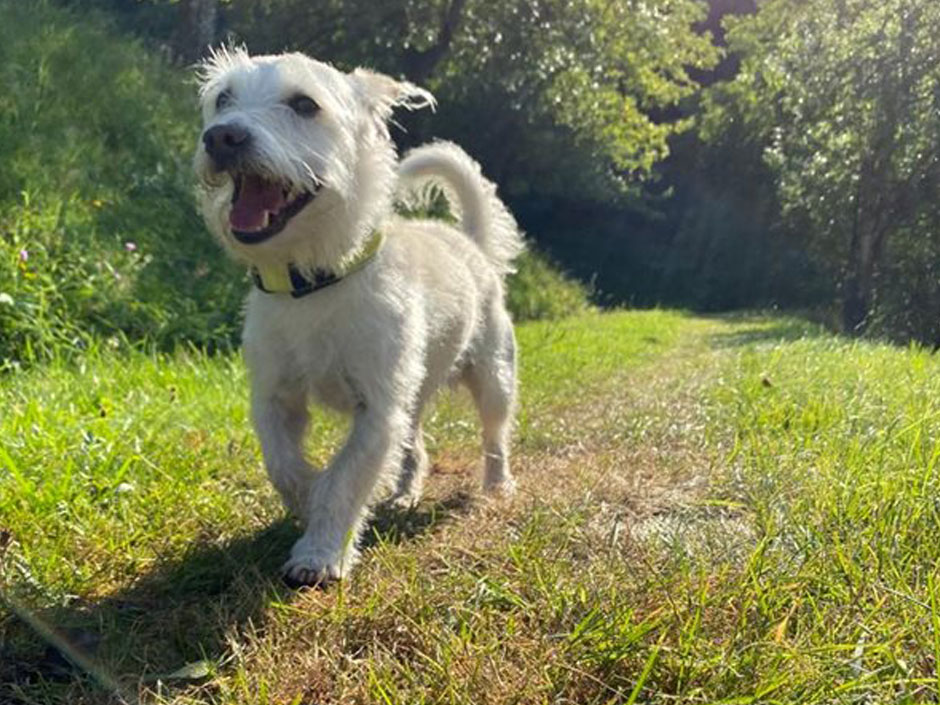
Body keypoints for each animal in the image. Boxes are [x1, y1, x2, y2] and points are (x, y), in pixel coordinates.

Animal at [194, 49, 524, 584]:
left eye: (305, 105)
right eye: (223, 99)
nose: (222, 136)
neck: (314, 282)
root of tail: (469, 242)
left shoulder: (378, 410)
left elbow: (345, 478)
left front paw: (320, 552)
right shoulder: (274, 398)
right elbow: (283, 465)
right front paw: (306, 500)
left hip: (494, 378)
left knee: (494, 435)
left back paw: (497, 484)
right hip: (415, 392)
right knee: (416, 445)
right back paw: (405, 492)